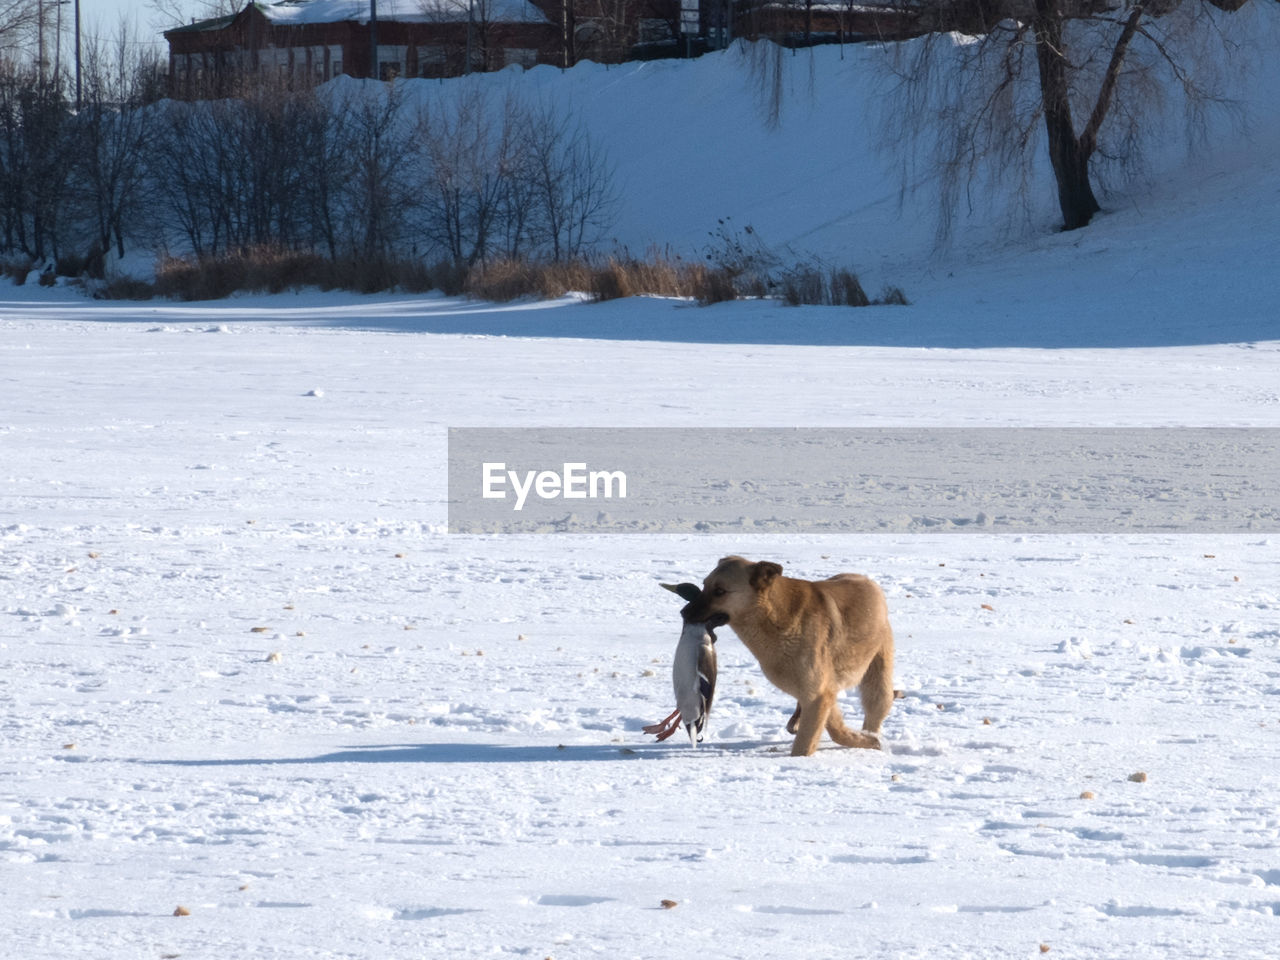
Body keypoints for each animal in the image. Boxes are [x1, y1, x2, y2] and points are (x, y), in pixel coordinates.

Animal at [686, 555, 896, 757]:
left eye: (719, 591)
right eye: (704, 585)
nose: (683, 612)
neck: (774, 616)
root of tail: (869, 582)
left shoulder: (819, 694)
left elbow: (806, 744)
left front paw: (868, 742)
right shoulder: (821, 692)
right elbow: (833, 725)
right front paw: (862, 740)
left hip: (877, 682)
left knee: (874, 711)